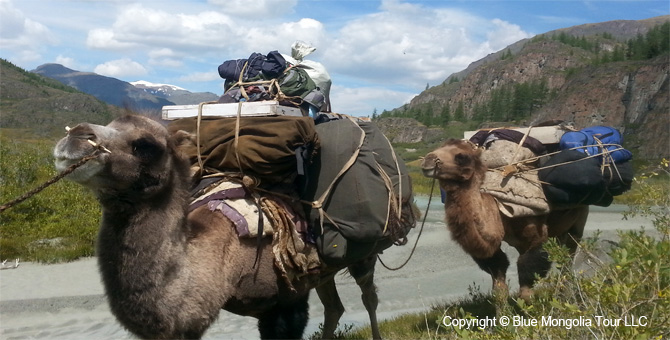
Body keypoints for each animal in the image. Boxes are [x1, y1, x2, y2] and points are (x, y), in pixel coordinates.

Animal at [55, 115, 388, 340]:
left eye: (146, 145)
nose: (74, 136)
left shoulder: (285, 305)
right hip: (321, 269)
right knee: (334, 308)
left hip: (363, 255)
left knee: (368, 297)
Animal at [422, 138, 592, 300]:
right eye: (440, 147)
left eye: (461, 157)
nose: (428, 160)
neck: (497, 210)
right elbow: (499, 284)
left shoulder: (539, 236)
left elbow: (526, 285)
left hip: (579, 220)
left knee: (568, 256)